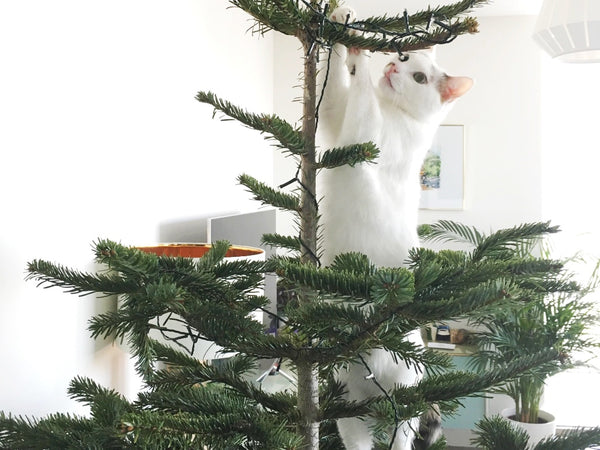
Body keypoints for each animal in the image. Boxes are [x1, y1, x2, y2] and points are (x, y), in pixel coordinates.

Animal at [318, 6, 474, 450]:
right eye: (404, 57)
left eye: (419, 77)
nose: (391, 65)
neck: (395, 114)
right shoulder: (334, 123)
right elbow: (333, 84)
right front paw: (341, 22)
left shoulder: (359, 141)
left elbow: (360, 92)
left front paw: (361, 58)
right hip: (349, 413)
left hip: (401, 412)